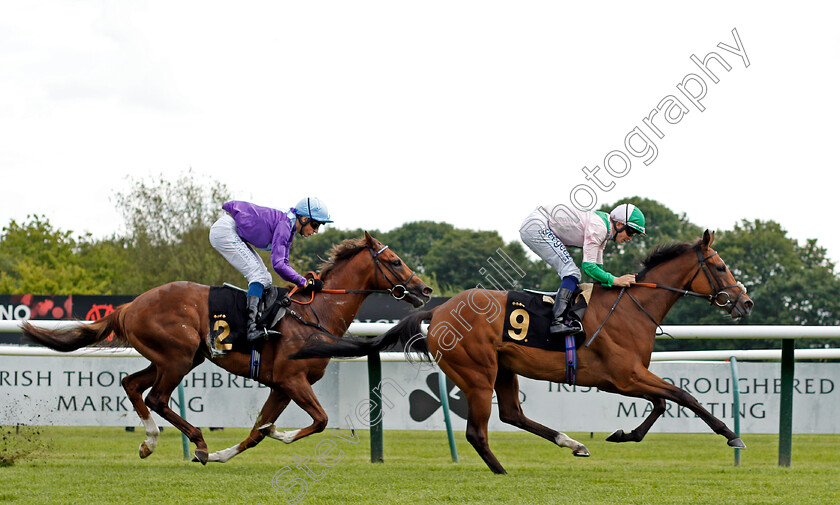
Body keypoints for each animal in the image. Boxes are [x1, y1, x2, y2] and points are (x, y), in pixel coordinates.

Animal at [23, 230, 430, 462]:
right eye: (395, 261)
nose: (424, 289)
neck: (315, 312)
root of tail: (130, 305)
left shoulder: (281, 386)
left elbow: (257, 431)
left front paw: (226, 453)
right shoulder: (293, 379)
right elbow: (320, 420)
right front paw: (275, 435)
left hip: (178, 357)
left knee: (132, 385)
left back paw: (151, 442)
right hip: (178, 355)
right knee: (156, 397)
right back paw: (198, 442)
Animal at [292, 230, 752, 474]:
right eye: (721, 266)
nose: (745, 302)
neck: (632, 307)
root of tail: (438, 308)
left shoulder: (627, 377)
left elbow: (664, 401)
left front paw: (624, 434)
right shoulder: (624, 376)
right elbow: (682, 395)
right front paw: (731, 435)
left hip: (504, 369)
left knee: (513, 414)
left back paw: (572, 443)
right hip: (477, 373)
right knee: (478, 431)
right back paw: (501, 470)